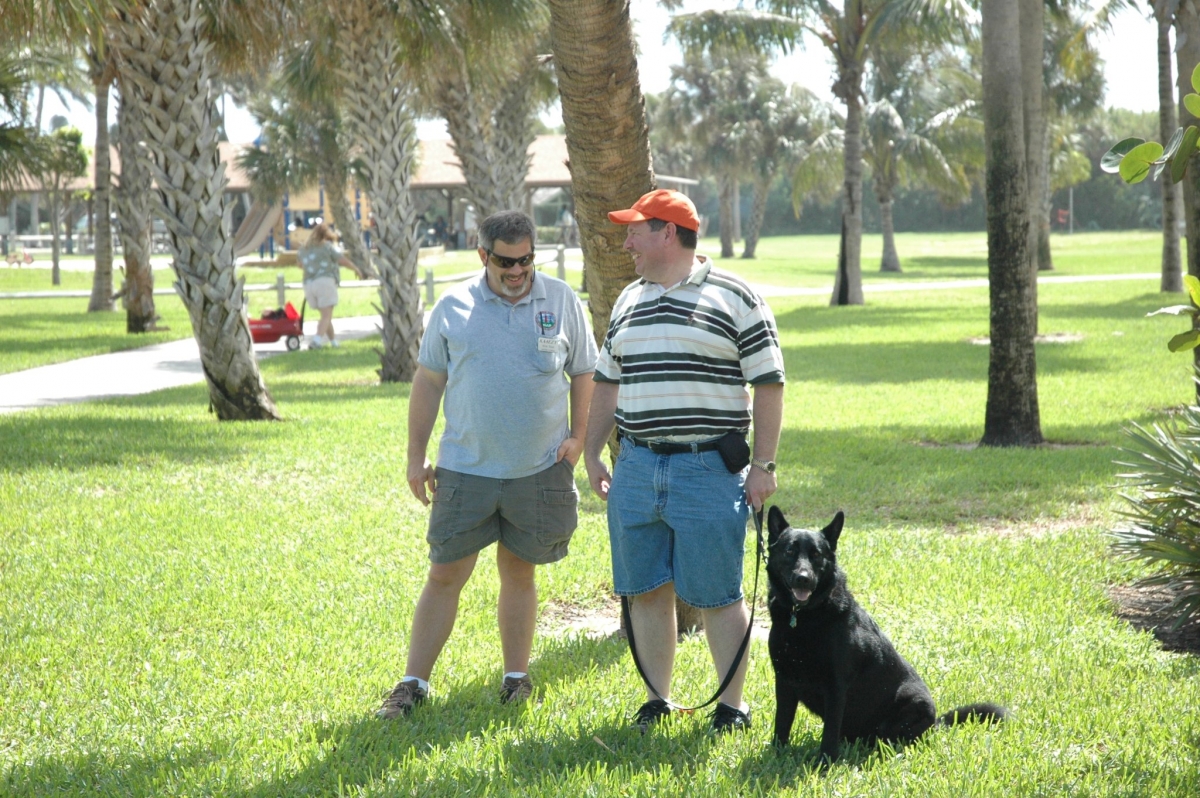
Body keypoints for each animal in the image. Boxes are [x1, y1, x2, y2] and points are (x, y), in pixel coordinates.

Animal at [766, 507, 1007, 761]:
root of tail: (935, 724)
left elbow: (829, 732)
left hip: (913, 700)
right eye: (790, 550)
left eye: (816, 554)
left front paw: (825, 761)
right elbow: (782, 724)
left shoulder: (835, 686)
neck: (803, 618)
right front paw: (776, 755)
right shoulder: (784, 682)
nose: (804, 578)